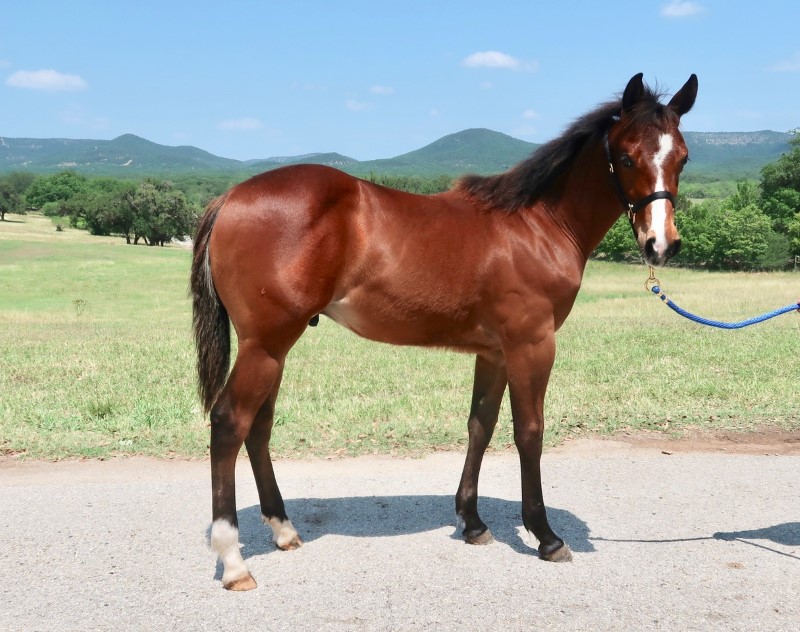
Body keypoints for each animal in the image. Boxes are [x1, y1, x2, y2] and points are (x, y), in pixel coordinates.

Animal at [192, 74, 692, 592]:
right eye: (627, 157)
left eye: (682, 157)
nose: (662, 245)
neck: (537, 226)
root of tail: (228, 198)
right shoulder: (531, 345)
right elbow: (529, 431)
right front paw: (545, 535)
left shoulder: (494, 352)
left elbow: (480, 426)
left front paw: (472, 523)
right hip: (265, 346)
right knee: (229, 422)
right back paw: (233, 560)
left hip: (273, 348)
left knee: (258, 427)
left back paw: (283, 530)